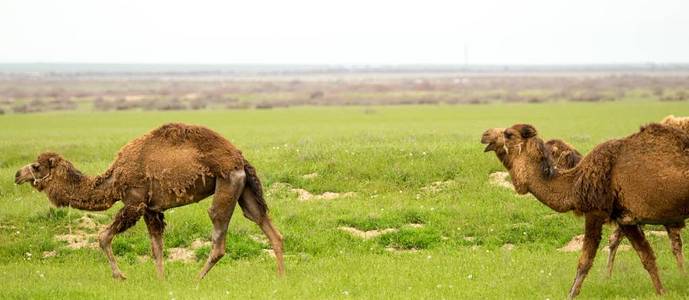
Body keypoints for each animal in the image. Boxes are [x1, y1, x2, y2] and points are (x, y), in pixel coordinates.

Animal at [16, 123, 284, 280]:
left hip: (227, 182)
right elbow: (157, 247)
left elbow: (103, 237)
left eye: (36, 166)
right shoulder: (151, 208)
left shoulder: (134, 203)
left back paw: (196, 281)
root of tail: (239, 158)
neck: (114, 179)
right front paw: (161, 281)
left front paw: (120, 276)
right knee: (264, 222)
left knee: (218, 232)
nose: (17, 174)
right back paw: (281, 278)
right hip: (244, 188)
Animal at [478, 122, 688, 298]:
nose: (485, 134)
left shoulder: (595, 212)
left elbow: (584, 262)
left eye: (508, 134)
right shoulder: (625, 218)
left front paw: (571, 294)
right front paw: (662, 293)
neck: (575, 182)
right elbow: (647, 257)